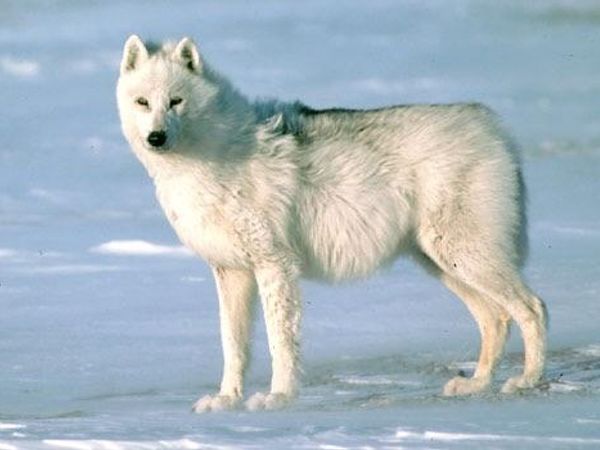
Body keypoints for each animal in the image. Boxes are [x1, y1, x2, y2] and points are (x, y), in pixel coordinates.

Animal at [115, 37, 548, 414]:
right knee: (496, 319)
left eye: (176, 101)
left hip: (463, 255)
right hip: (443, 264)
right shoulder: (231, 270)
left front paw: (277, 398)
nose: (156, 137)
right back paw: (476, 385)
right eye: (142, 102)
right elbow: (233, 346)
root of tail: (491, 125)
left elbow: (280, 340)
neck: (208, 157)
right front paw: (226, 401)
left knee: (533, 308)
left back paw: (526, 381)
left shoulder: (275, 264)